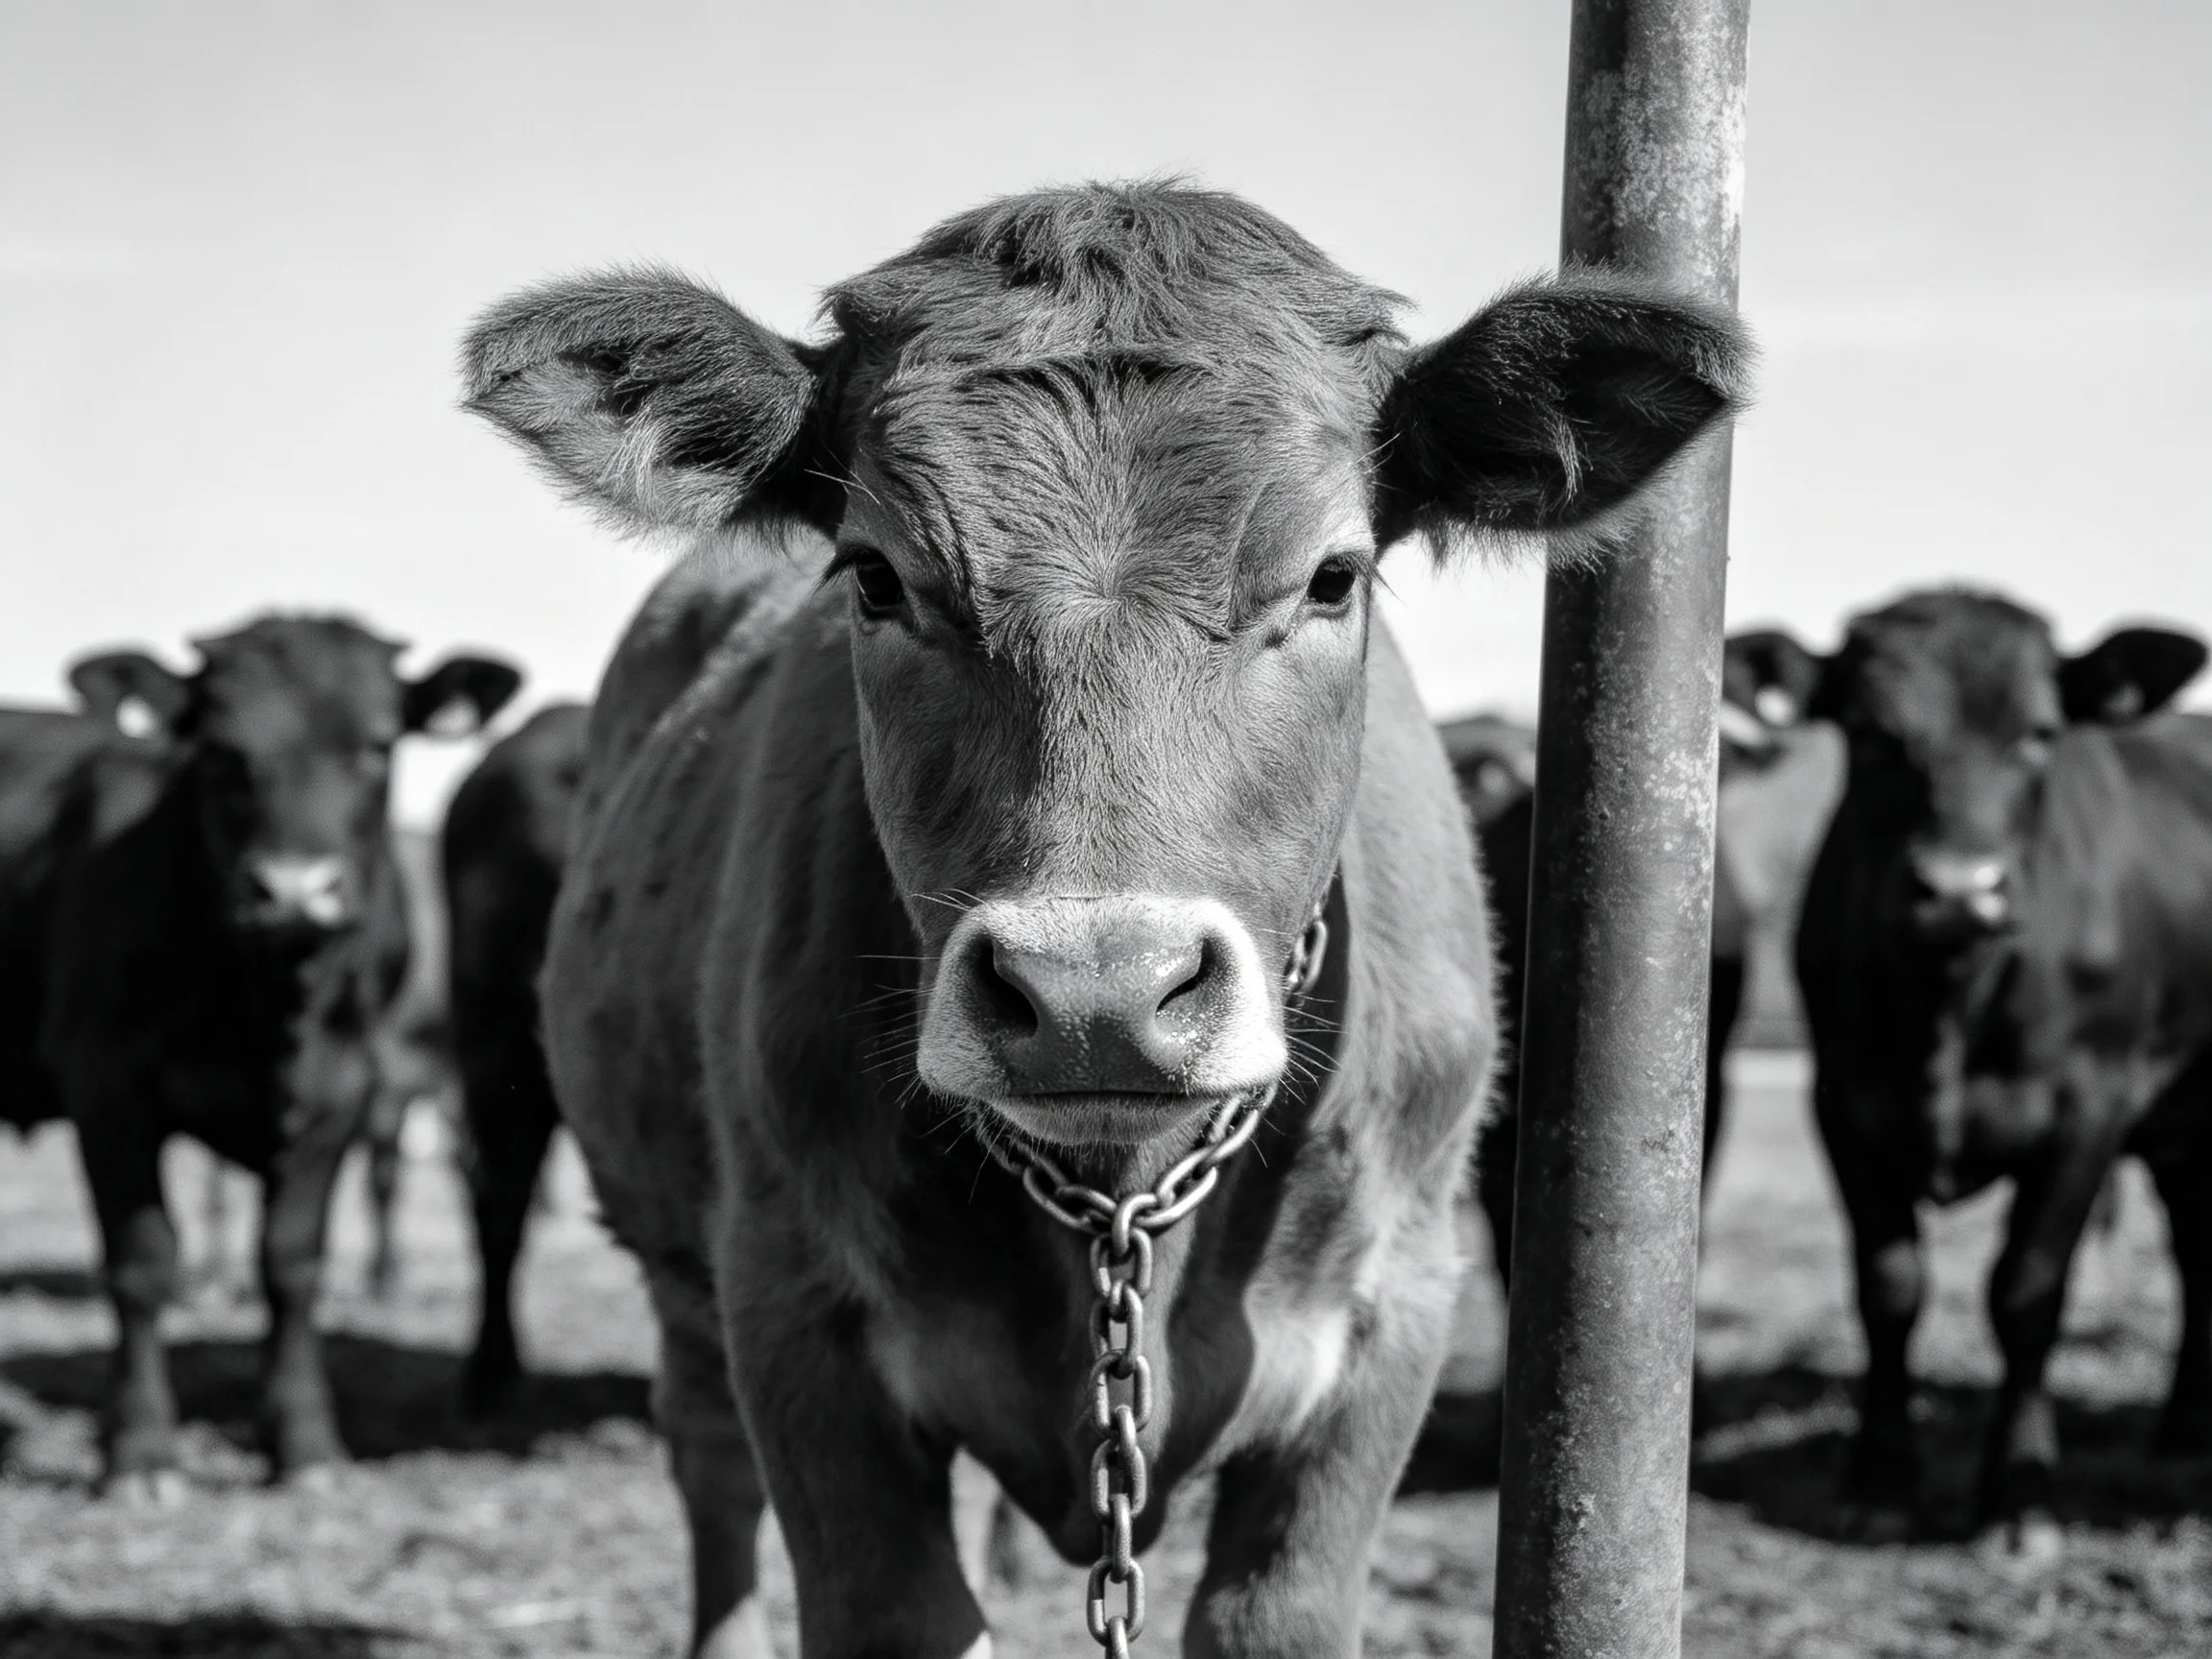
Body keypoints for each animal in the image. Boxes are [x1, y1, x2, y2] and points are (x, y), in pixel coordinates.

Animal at [0, 618, 517, 1497]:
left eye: (376, 745)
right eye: (219, 752)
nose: (294, 891)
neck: (265, 1003)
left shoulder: (347, 1092)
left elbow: (293, 1265)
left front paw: (304, 1444)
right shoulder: (105, 1085)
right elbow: (141, 1263)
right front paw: (139, 1452)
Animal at [461, 182, 1745, 1656]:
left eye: (1332, 577)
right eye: (876, 576)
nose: (1095, 997)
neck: (1124, 1206)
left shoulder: (1390, 1321)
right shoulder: (792, 1315)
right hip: (676, 1260)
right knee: (707, 1465)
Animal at [1746, 589, 2211, 1554]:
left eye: (2039, 733)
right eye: (1871, 733)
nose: (1961, 891)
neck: (1951, 1006)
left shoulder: (2090, 1109)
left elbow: (2027, 1290)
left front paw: (2019, 1495)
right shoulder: (1842, 1103)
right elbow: (1888, 1285)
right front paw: (1881, 1481)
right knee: (2196, 1252)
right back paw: (2183, 1429)